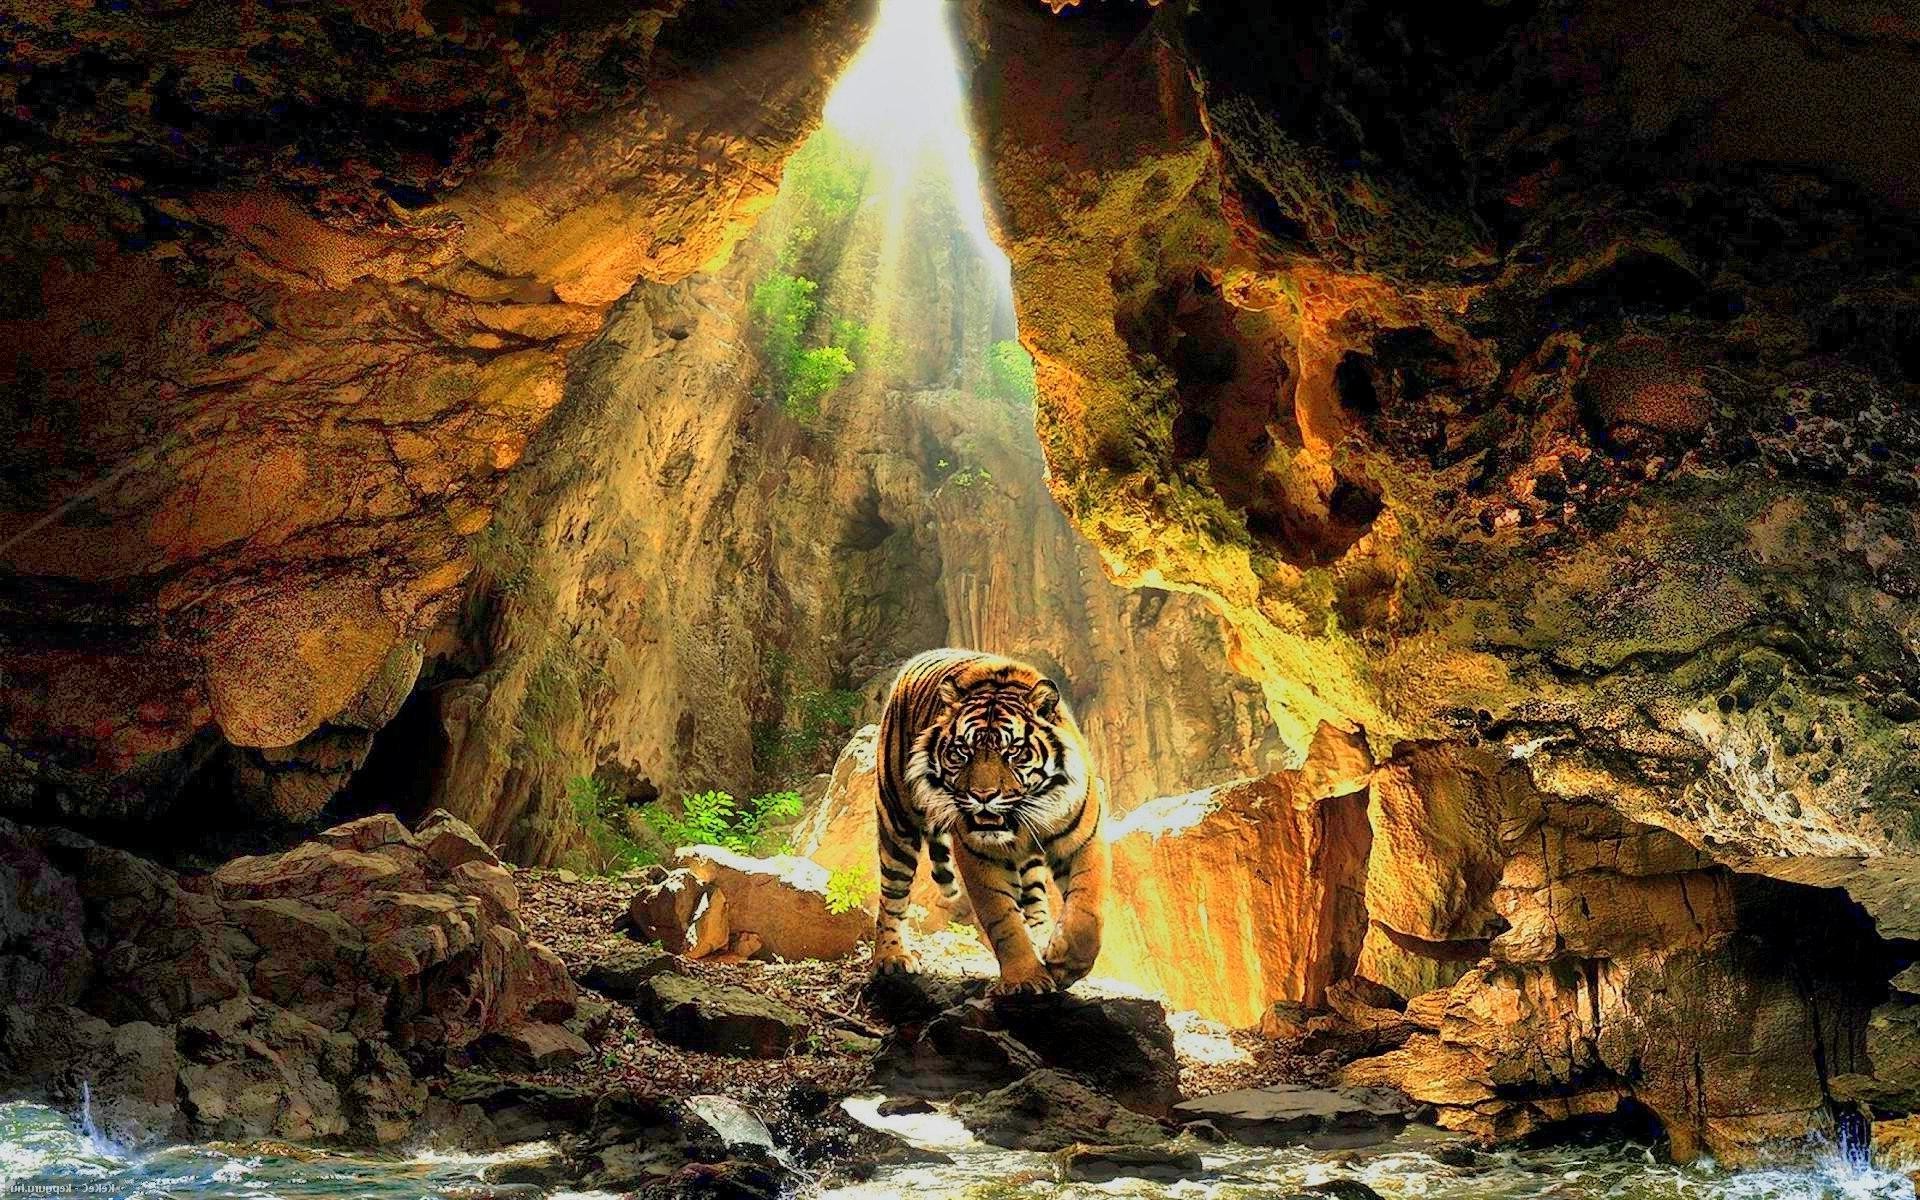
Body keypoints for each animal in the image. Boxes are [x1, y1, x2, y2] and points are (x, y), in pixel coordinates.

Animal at [871, 648, 1108, 995]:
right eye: (962, 751)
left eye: (1013, 752)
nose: (982, 796)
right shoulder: (980, 855)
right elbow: (1003, 919)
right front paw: (1025, 978)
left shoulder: (1084, 840)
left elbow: (1087, 909)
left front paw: (1065, 963)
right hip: (896, 820)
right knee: (892, 895)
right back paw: (892, 957)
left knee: (1034, 897)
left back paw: (1042, 936)